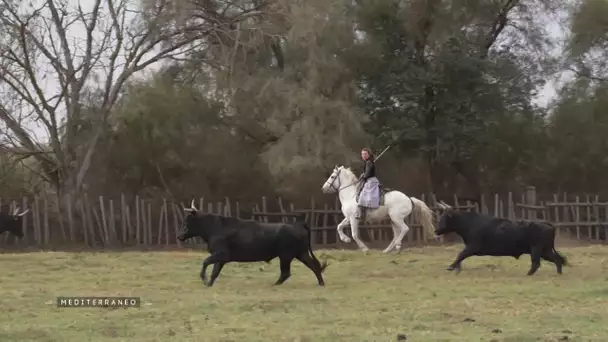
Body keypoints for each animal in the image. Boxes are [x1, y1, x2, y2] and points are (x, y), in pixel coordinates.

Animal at [434, 208, 568, 276]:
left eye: (443, 218)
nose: (435, 230)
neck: (470, 223)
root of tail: (547, 224)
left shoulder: (473, 246)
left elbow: (460, 255)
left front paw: (451, 267)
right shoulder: (470, 247)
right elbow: (461, 256)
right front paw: (457, 269)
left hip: (537, 248)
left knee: (536, 263)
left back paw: (528, 274)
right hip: (545, 250)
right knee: (557, 259)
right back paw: (558, 274)